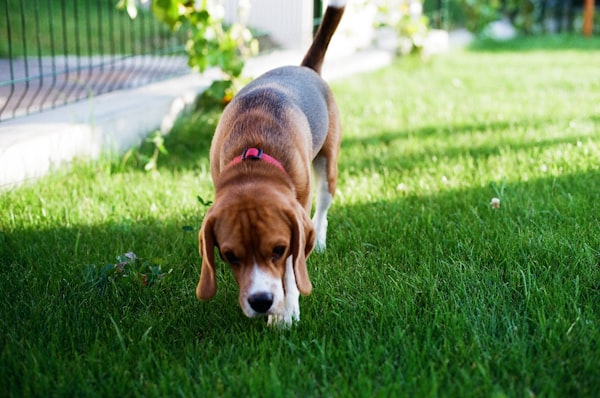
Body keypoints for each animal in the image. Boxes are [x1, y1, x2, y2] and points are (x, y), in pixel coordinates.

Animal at [197, 0, 346, 324]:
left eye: (278, 249)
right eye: (229, 256)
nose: (261, 301)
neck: (254, 159)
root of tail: (304, 68)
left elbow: (292, 270)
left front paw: (286, 314)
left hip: (327, 170)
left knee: (322, 211)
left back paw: (321, 241)